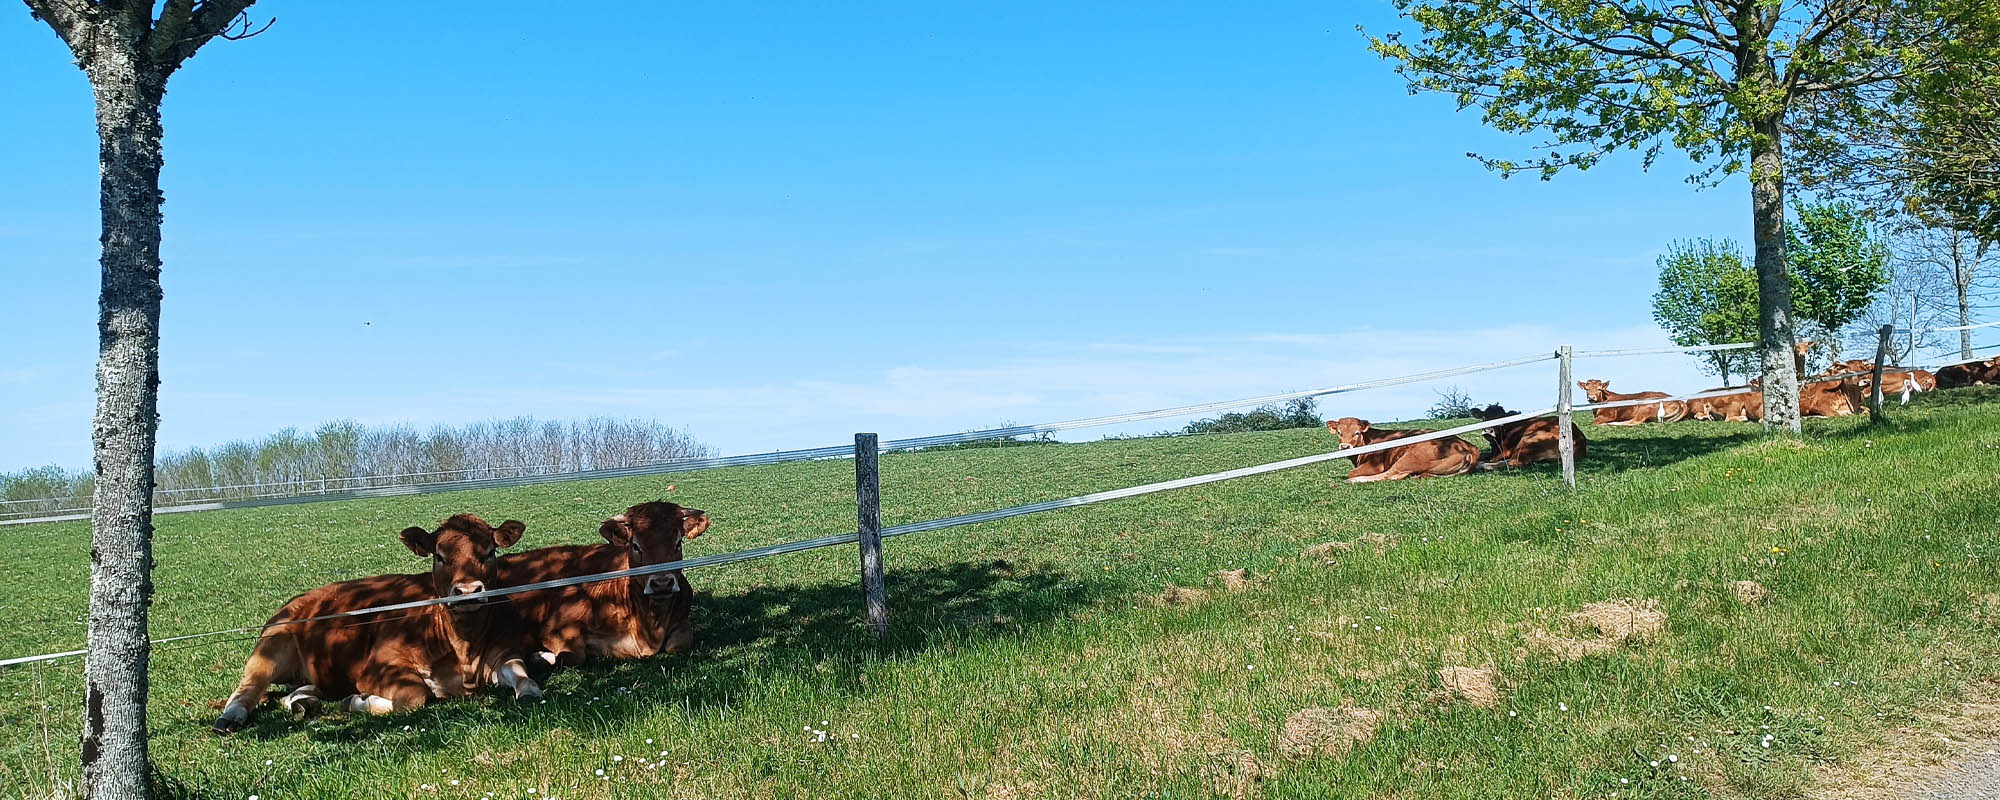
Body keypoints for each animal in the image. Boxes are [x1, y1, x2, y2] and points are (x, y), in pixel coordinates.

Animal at [213, 514, 540, 733]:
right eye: (439, 555)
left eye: (489, 552)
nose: (469, 591)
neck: (463, 650)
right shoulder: (380, 665)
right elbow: (414, 696)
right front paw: (358, 701)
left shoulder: (503, 654)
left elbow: (522, 675)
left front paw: (529, 692)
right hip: (271, 645)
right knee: (248, 687)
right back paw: (230, 718)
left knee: (292, 693)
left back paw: (305, 702)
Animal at [500, 501, 712, 667]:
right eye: (635, 546)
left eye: (678, 543)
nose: (662, 583)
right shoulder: (555, 628)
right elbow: (572, 656)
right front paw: (539, 656)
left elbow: (678, 644)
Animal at [1324, 417, 1479, 482]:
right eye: (1339, 432)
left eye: (1356, 433)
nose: (1345, 447)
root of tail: (1467, 446)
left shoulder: (1375, 465)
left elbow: (1352, 472)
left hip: (1410, 457)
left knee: (1390, 475)